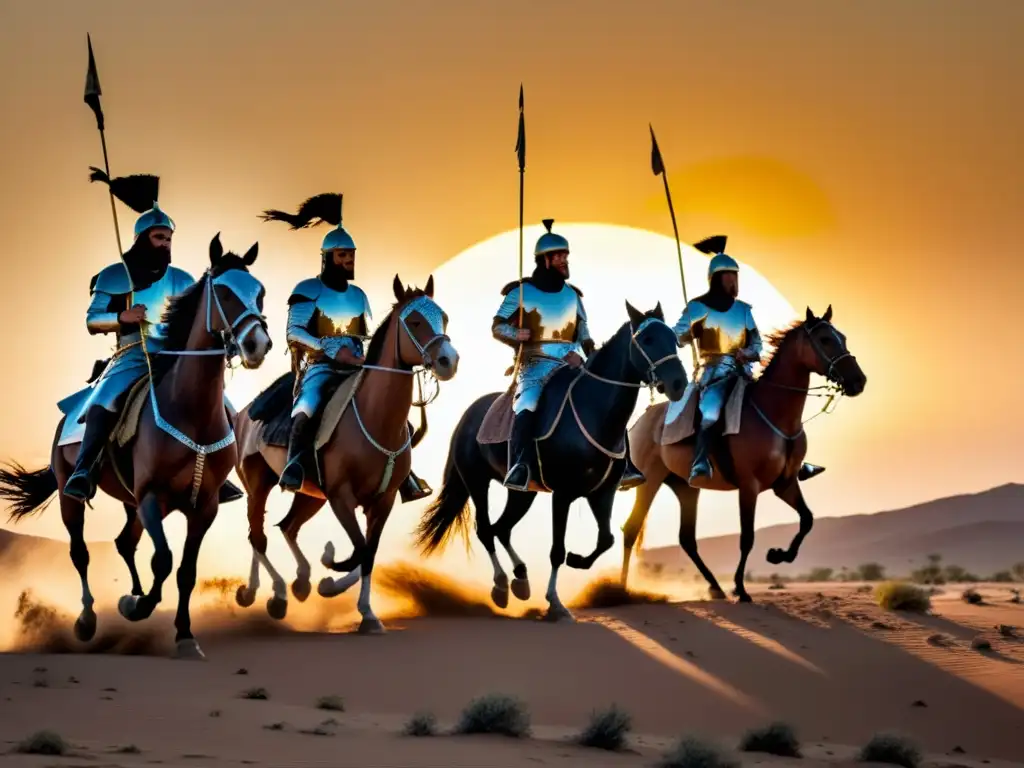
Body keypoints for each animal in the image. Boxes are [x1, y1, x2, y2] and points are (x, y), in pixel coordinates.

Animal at [0, 236, 272, 663]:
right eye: (225, 293)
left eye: (259, 293)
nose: (257, 344)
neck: (189, 410)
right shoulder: (151, 496)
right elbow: (163, 559)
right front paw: (137, 607)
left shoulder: (204, 506)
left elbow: (185, 571)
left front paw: (183, 635)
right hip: (73, 496)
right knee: (81, 552)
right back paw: (87, 620)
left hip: (131, 503)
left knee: (124, 543)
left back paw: (131, 596)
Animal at [232, 274, 460, 630]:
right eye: (415, 321)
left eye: (444, 317)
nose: (448, 360)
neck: (374, 418)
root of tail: (244, 414)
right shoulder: (341, 498)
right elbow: (359, 548)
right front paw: (332, 576)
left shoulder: (382, 501)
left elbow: (368, 552)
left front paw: (364, 612)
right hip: (259, 485)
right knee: (258, 536)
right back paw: (270, 593)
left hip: (311, 495)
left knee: (287, 527)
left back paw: (299, 582)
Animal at [415, 303, 688, 622]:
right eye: (647, 339)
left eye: (673, 338)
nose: (678, 383)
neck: (593, 411)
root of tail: (467, 417)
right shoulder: (564, 494)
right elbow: (557, 549)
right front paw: (556, 603)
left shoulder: (602, 493)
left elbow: (605, 538)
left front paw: (578, 560)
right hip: (477, 482)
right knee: (485, 529)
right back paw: (501, 586)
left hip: (523, 492)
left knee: (501, 528)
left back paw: (521, 580)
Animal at [618, 305, 868, 602]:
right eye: (825, 340)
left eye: (842, 337)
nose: (858, 381)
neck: (774, 414)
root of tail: (640, 422)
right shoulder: (749, 486)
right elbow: (747, 537)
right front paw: (740, 587)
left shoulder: (785, 484)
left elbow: (807, 520)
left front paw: (778, 555)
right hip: (649, 480)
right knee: (631, 530)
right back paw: (619, 589)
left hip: (686, 487)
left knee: (687, 539)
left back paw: (714, 586)